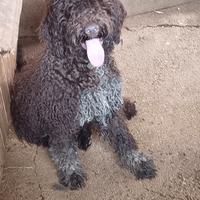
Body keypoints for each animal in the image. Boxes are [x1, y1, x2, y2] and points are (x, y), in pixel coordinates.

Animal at [10, 0, 156, 190]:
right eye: (70, 11)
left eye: (101, 5)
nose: (92, 29)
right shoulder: (61, 120)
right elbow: (65, 150)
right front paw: (72, 172)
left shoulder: (108, 107)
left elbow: (124, 137)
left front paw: (137, 161)